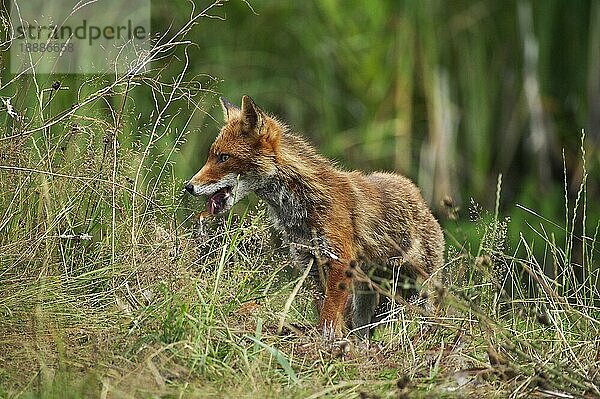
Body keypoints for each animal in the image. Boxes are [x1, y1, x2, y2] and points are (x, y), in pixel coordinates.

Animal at [185, 96, 442, 340]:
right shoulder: (310, 262)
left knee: (432, 319)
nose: (188, 186)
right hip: (366, 296)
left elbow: (330, 314)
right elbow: (324, 308)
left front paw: (328, 341)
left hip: (422, 288)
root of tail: (419, 195)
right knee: (362, 330)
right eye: (211, 156)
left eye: (223, 157)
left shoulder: (340, 259)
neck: (300, 204)